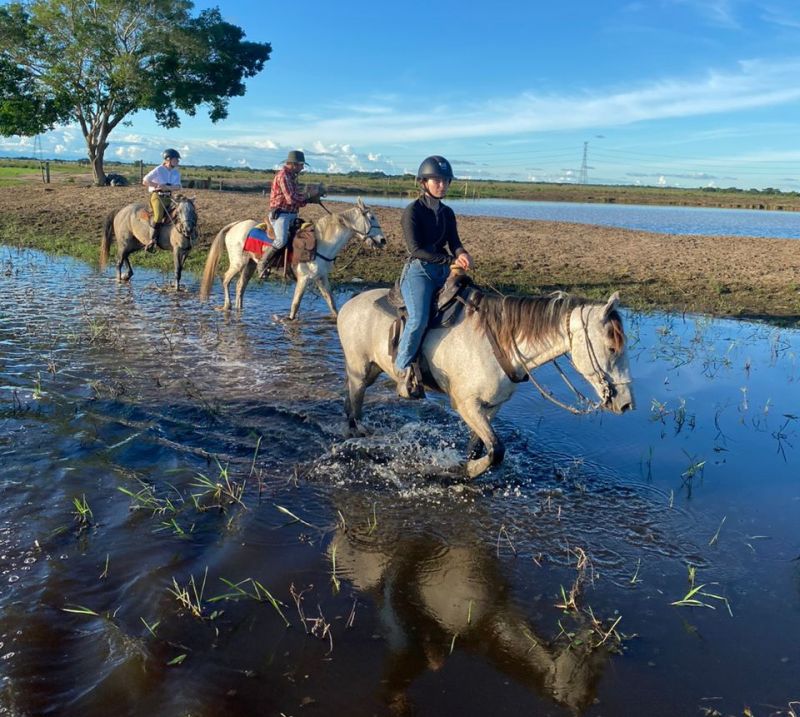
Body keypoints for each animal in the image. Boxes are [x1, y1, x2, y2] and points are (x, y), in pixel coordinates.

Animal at [200, 197, 388, 318]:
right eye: (372, 217)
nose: (383, 240)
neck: (321, 244)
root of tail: (236, 225)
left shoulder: (321, 278)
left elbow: (332, 303)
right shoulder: (303, 278)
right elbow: (295, 305)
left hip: (250, 264)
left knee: (240, 286)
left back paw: (240, 309)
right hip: (238, 263)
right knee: (225, 280)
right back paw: (227, 305)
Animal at [334, 288, 636, 478]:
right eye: (612, 348)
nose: (626, 404)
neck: (502, 345)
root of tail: (350, 303)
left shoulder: (491, 407)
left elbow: (479, 448)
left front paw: (466, 467)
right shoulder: (466, 405)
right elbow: (497, 450)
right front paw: (463, 473)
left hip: (371, 371)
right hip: (359, 370)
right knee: (353, 411)